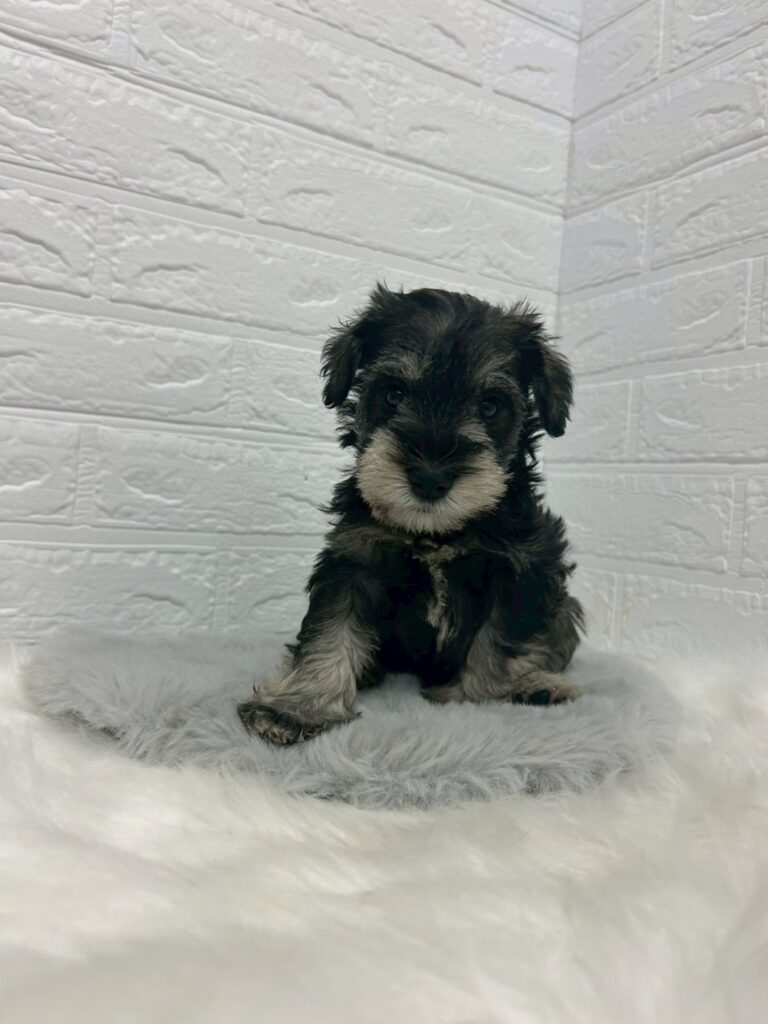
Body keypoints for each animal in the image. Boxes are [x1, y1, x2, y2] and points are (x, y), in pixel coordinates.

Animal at [238, 284, 584, 745]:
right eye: (393, 393)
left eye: (490, 406)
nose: (430, 478)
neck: (438, 532)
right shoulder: (354, 559)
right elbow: (329, 631)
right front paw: (298, 707)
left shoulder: (522, 568)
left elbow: (499, 641)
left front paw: (480, 694)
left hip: (564, 606)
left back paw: (539, 684)